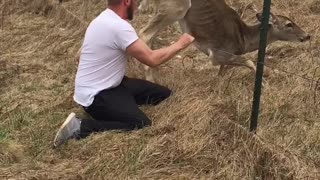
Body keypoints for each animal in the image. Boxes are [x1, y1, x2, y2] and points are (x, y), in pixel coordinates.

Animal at [138, 0, 310, 81]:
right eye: (289, 24)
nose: (307, 35)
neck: (244, 40)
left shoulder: (222, 58)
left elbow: (222, 72)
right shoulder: (218, 53)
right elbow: (248, 61)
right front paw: (265, 78)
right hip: (176, 7)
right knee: (143, 34)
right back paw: (150, 78)